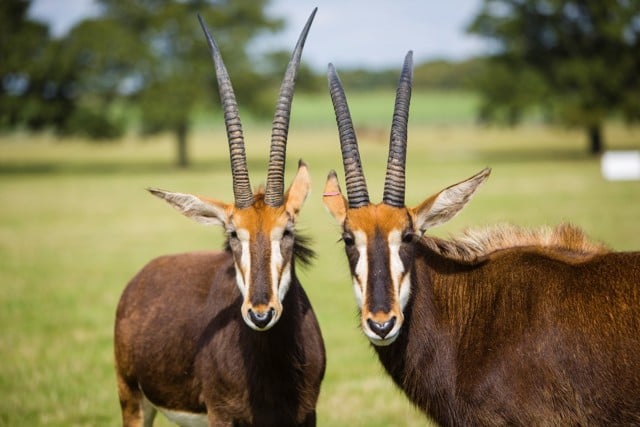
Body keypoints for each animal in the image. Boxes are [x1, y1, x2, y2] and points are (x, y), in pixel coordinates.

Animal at [114, 10, 324, 427]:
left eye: (287, 232)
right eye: (232, 235)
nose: (261, 313)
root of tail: (140, 278)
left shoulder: (307, 414)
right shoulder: (221, 415)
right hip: (132, 398)